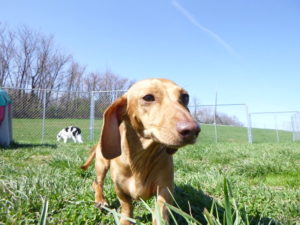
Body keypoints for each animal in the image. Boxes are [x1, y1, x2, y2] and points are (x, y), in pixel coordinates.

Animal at [81, 78, 200, 224]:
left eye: (185, 97)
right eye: (148, 97)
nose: (193, 130)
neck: (140, 158)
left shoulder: (164, 189)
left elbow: (161, 212)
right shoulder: (119, 188)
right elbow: (126, 206)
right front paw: (125, 220)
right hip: (101, 165)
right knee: (97, 183)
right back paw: (100, 200)